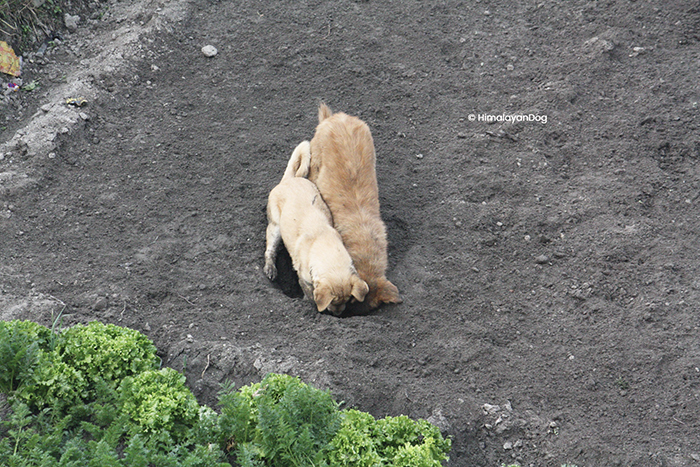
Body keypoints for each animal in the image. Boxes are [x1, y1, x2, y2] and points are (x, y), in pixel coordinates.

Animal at [264, 139, 372, 314]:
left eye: (348, 300)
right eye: (332, 303)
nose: (338, 314)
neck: (324, 243)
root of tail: (289, 179)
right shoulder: (304, 279)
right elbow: (309, 294)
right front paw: (310, 304)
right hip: (275, 226)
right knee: (270, 249)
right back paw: (270, 269)